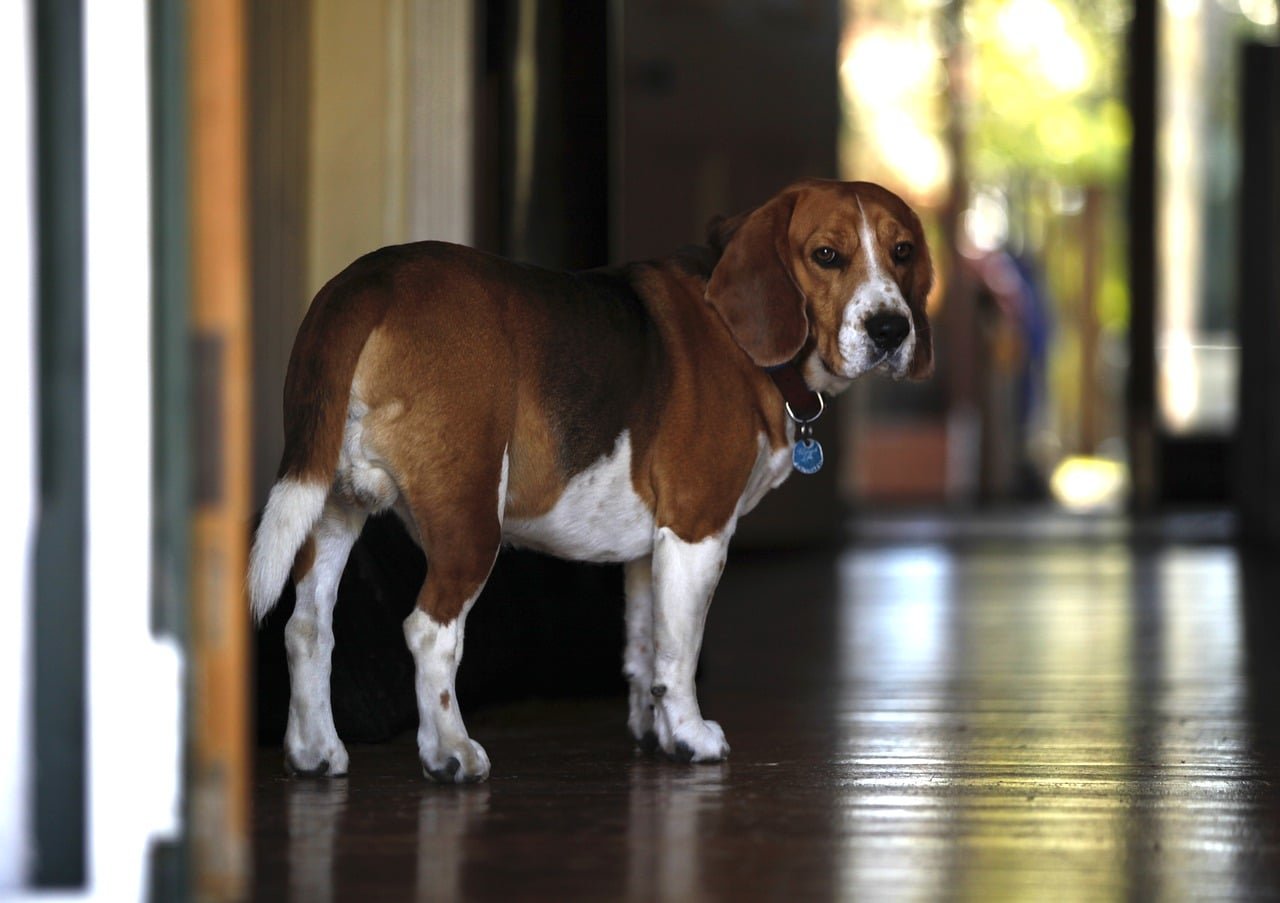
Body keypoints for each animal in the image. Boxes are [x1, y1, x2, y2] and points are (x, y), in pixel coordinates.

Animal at [249, 178, 931, 783]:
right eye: (826, 255)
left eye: (902, 252)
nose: (892, 329)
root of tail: (371, 279)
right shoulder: (696, 530)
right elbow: (679, 654)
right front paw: (691, 736)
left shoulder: (647, 552)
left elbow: (644, 652)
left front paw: (657, 735)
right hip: (470, 521)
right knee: (428, 631)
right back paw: (451, 753)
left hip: (330, 505)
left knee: (306, 629)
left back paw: (315, 754)